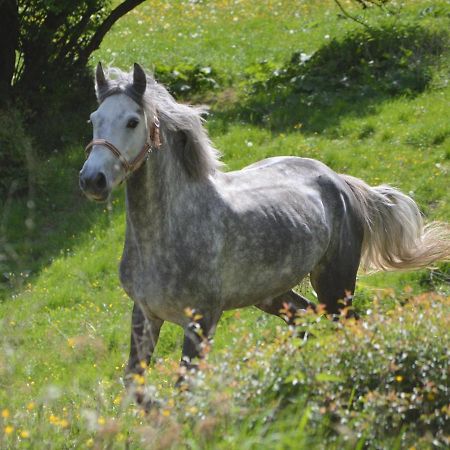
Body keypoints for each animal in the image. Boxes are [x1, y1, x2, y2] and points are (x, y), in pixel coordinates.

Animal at [80, 61, 450, 386]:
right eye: (94, 118)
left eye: (132, 121)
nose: (92, 180)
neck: (166, 235)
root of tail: (339, 181)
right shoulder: (145, 314)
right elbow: (135, 385)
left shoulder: (201, 319)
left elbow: (184, 388)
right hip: (272, 295)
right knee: (306, 319)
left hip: (335, 285)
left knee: (347, 323)